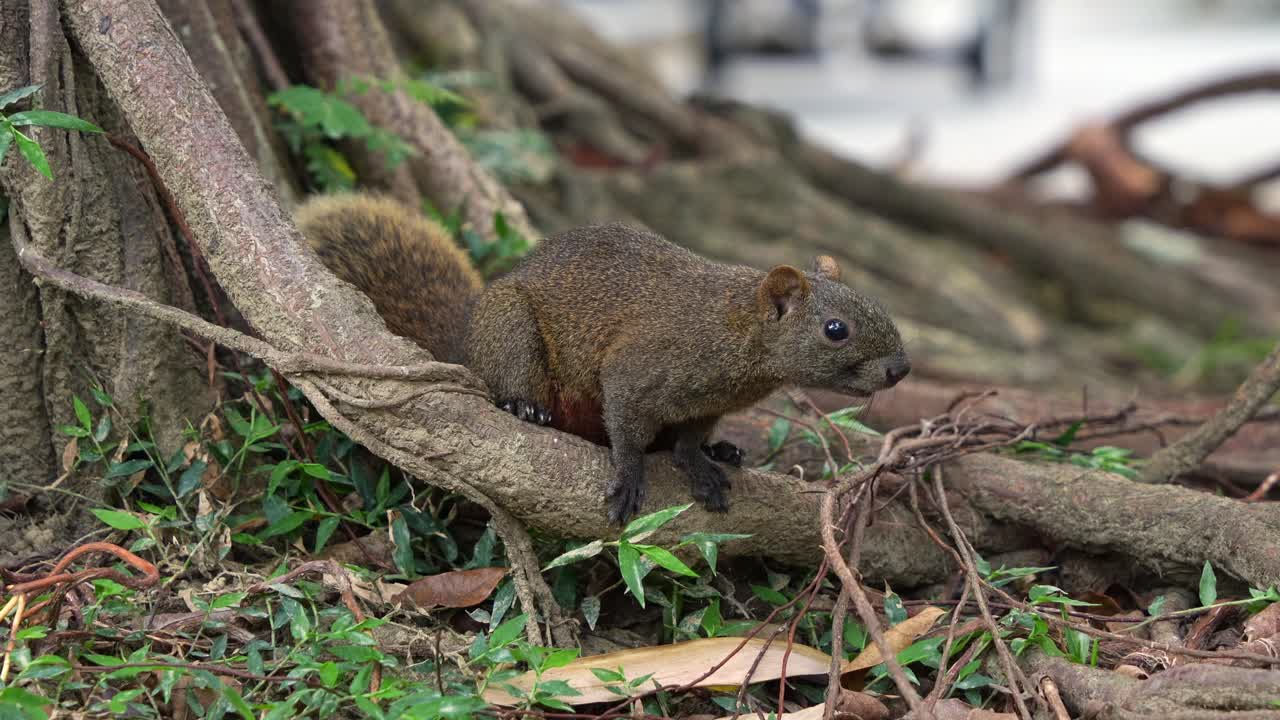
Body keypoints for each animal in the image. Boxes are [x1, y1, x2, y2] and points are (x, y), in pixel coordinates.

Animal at [296, 194, 910, 524]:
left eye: (876, 304)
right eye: (836, 329)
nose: (901, 369)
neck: (733, 333)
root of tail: (466, 342)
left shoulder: (706, 404)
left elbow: (687, 441)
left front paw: (700, 463)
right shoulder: (636, 371)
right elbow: (627, 430)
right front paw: (630, 477)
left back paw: (725, 451)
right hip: (510, 329)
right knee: (514, 385)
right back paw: (525, 407)